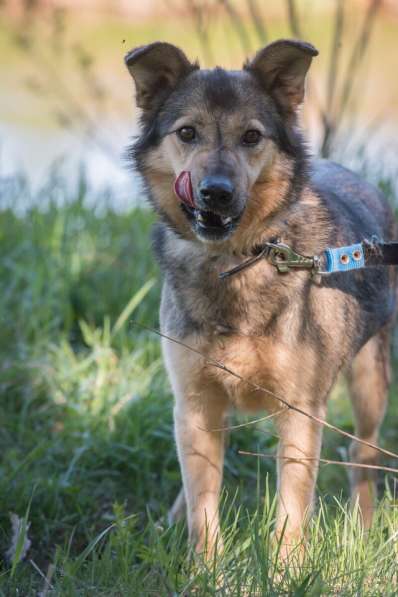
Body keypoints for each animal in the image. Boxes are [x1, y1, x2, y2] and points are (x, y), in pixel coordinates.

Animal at [123, 39, 394, 556]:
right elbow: (203, 506)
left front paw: (287, 566)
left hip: (371, 381)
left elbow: (291, 512)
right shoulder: (195, 403)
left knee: (362, 456)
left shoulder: (301, 412)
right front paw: (205, 566)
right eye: (187, 132)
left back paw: (364, 528)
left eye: (251, 136)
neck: (237, 261)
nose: (216, 193)